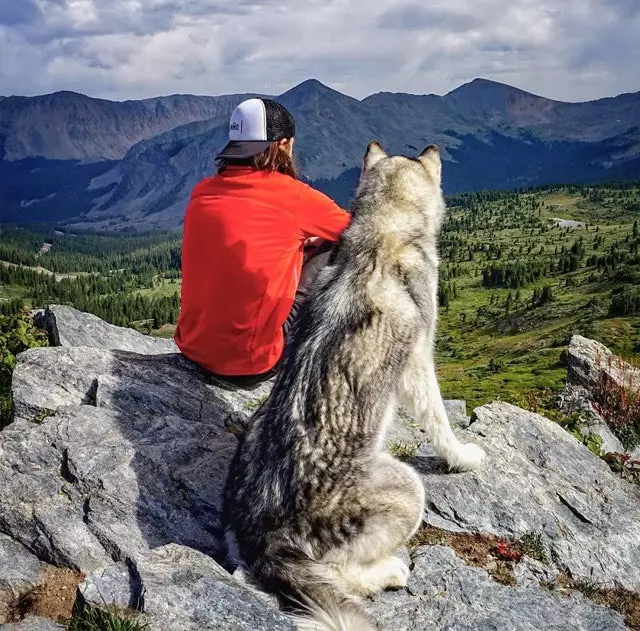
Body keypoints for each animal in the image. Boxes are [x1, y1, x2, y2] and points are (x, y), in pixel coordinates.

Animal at [221, 141, 484, 628]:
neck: (383, 230)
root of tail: (267, 538)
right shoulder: (419, 359)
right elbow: (439, 419)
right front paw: (461, 456)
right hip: (407, 489)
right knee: (341, 575)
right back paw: (389, 572)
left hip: (253, 434)